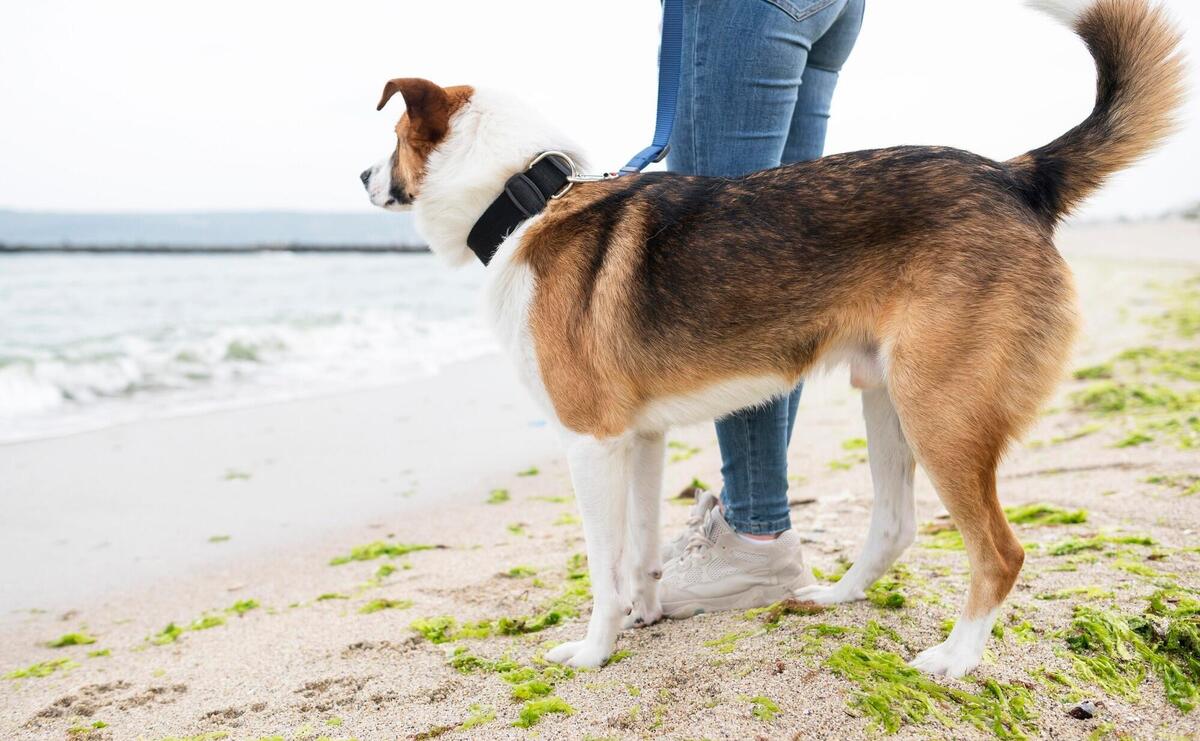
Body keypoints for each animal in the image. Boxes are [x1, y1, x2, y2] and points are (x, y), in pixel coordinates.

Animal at [357, 0, 1180, 676]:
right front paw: (643, 616)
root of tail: (1016, 178)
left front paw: (592, 651)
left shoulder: (589, 442)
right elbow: (639, 552)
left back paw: (956, 657)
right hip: (888, 393)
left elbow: (602, 566)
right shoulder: (639, 439)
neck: (527, 199)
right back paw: (838, 595)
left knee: (1000, 552)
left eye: (392, 138)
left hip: (941, 409)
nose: (363, 177)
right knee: (895, 525)